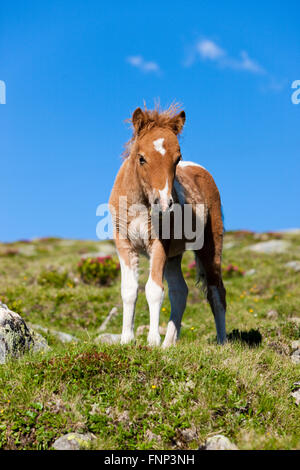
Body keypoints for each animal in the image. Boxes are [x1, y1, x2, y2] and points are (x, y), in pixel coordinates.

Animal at [109, 106, 226, 348]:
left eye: (177, 158)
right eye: (141, 158)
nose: (164, 203)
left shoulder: (159, 243)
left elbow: (154, 290)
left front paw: (152, 340)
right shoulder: (124, 244)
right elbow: (129, 290)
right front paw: (127, 339)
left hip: (210, 246)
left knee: (216, 291)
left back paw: (222, 342)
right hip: (174, 255)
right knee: (180, 291)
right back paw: (169, 344)